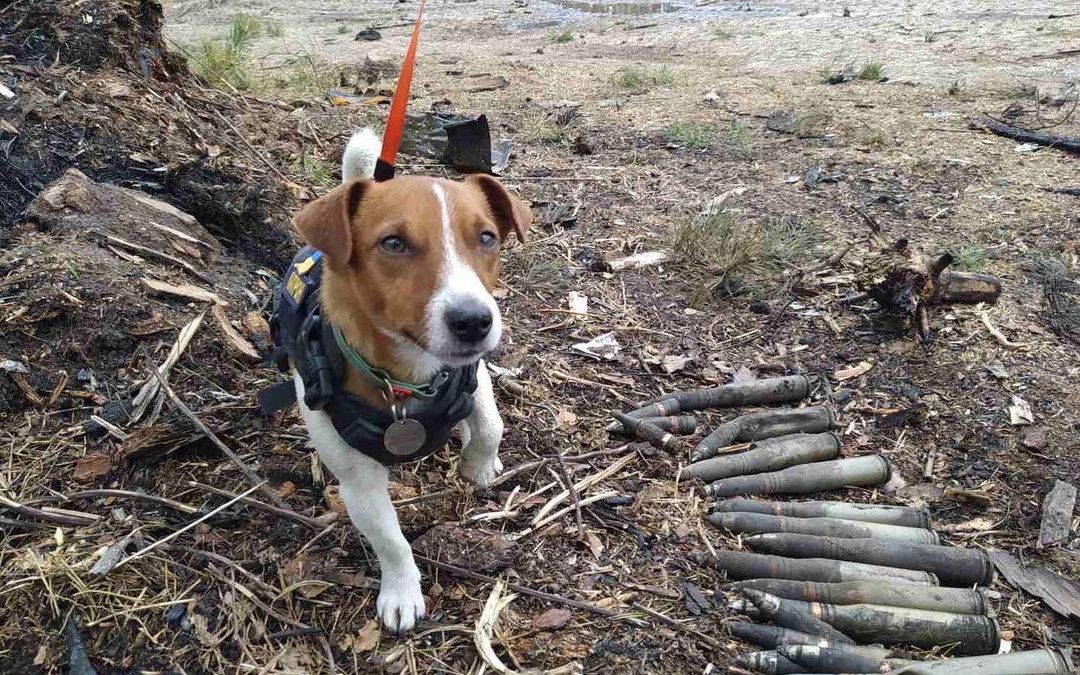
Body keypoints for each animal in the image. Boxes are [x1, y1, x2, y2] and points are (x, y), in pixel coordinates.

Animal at [282, 127, 527, 630]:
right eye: (394, 244)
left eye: (488, 238)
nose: (475, 321)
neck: (410, 380)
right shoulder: (359, 484)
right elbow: (391, 541)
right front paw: (401, 591)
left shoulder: (473, 375)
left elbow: (490, 424)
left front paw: (478, 465)